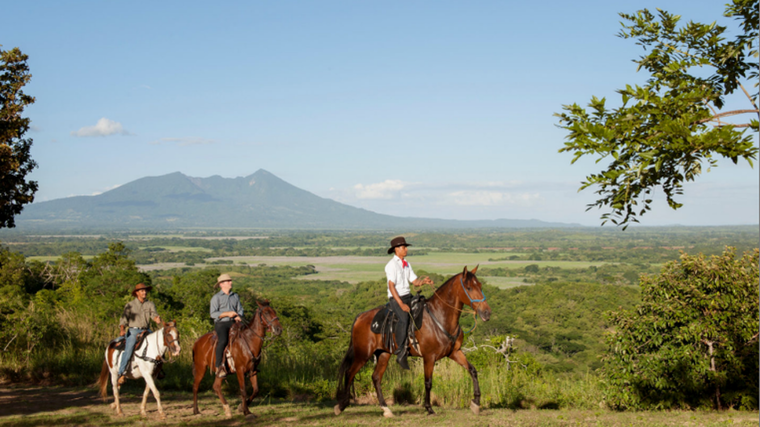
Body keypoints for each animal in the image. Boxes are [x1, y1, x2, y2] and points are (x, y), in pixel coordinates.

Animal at [334, 268, 490, 418]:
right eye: (469, 288)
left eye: (480, 286)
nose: (486, 313)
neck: (440, 317)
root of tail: (361, 316)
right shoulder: (429, 357)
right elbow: (428, 382)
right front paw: (429, 408)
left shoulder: (455, 352)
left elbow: (473, 370)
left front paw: (476, 403)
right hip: (363, 355)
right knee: (350, 373)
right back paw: (341, 406)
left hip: (383, 354)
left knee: (376, 377)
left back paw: (386, 409)